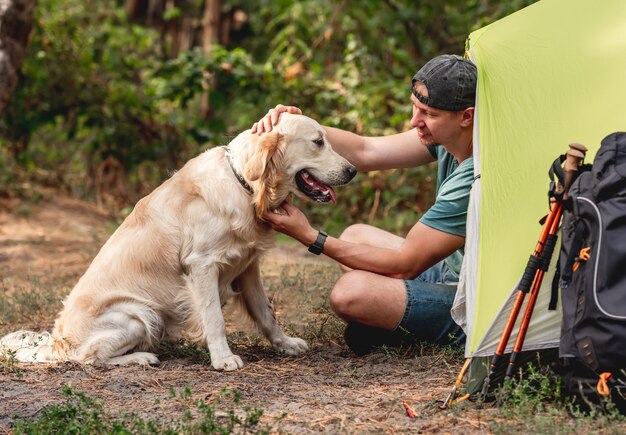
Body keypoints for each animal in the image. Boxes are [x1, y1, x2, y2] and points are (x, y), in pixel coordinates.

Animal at [0, 113, 356, 372]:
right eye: (318, 142)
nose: (352, 170)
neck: (243, 185)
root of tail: (57, 342)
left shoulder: (248, 265)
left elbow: (266, 312)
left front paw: (284, 343)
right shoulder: (202, 266)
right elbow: (214, 317)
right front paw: (222, 359)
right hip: (137, 313)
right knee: (88, 357)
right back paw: (140, 358)